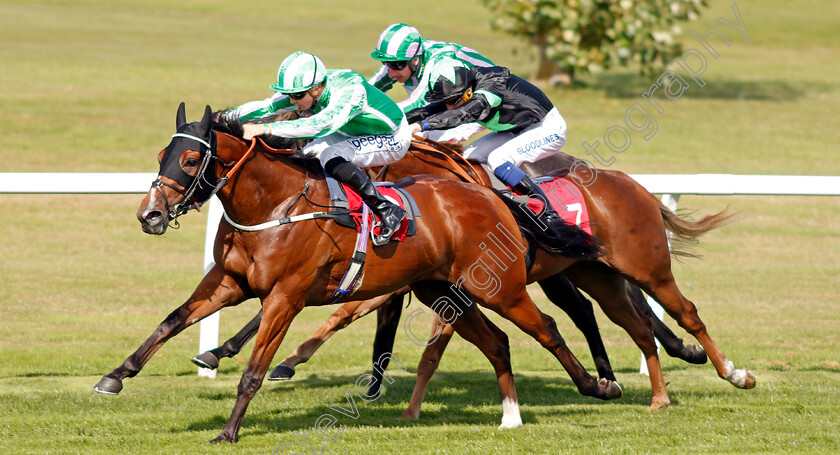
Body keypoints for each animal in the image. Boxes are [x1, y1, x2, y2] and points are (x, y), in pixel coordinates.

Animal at [92, 105, 620, 444]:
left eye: (188, 158)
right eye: (160, 155)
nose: (150, 215)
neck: (273, 206)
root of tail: (490, 194)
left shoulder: (284, 297)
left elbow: (255, 369)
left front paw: (228, 431)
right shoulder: (227, 282)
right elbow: (171, 321)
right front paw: (115, 376)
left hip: (499, 288)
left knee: (549, 327)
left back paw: (598, 386)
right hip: (440, 290)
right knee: (498, 341)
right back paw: (510, 416)